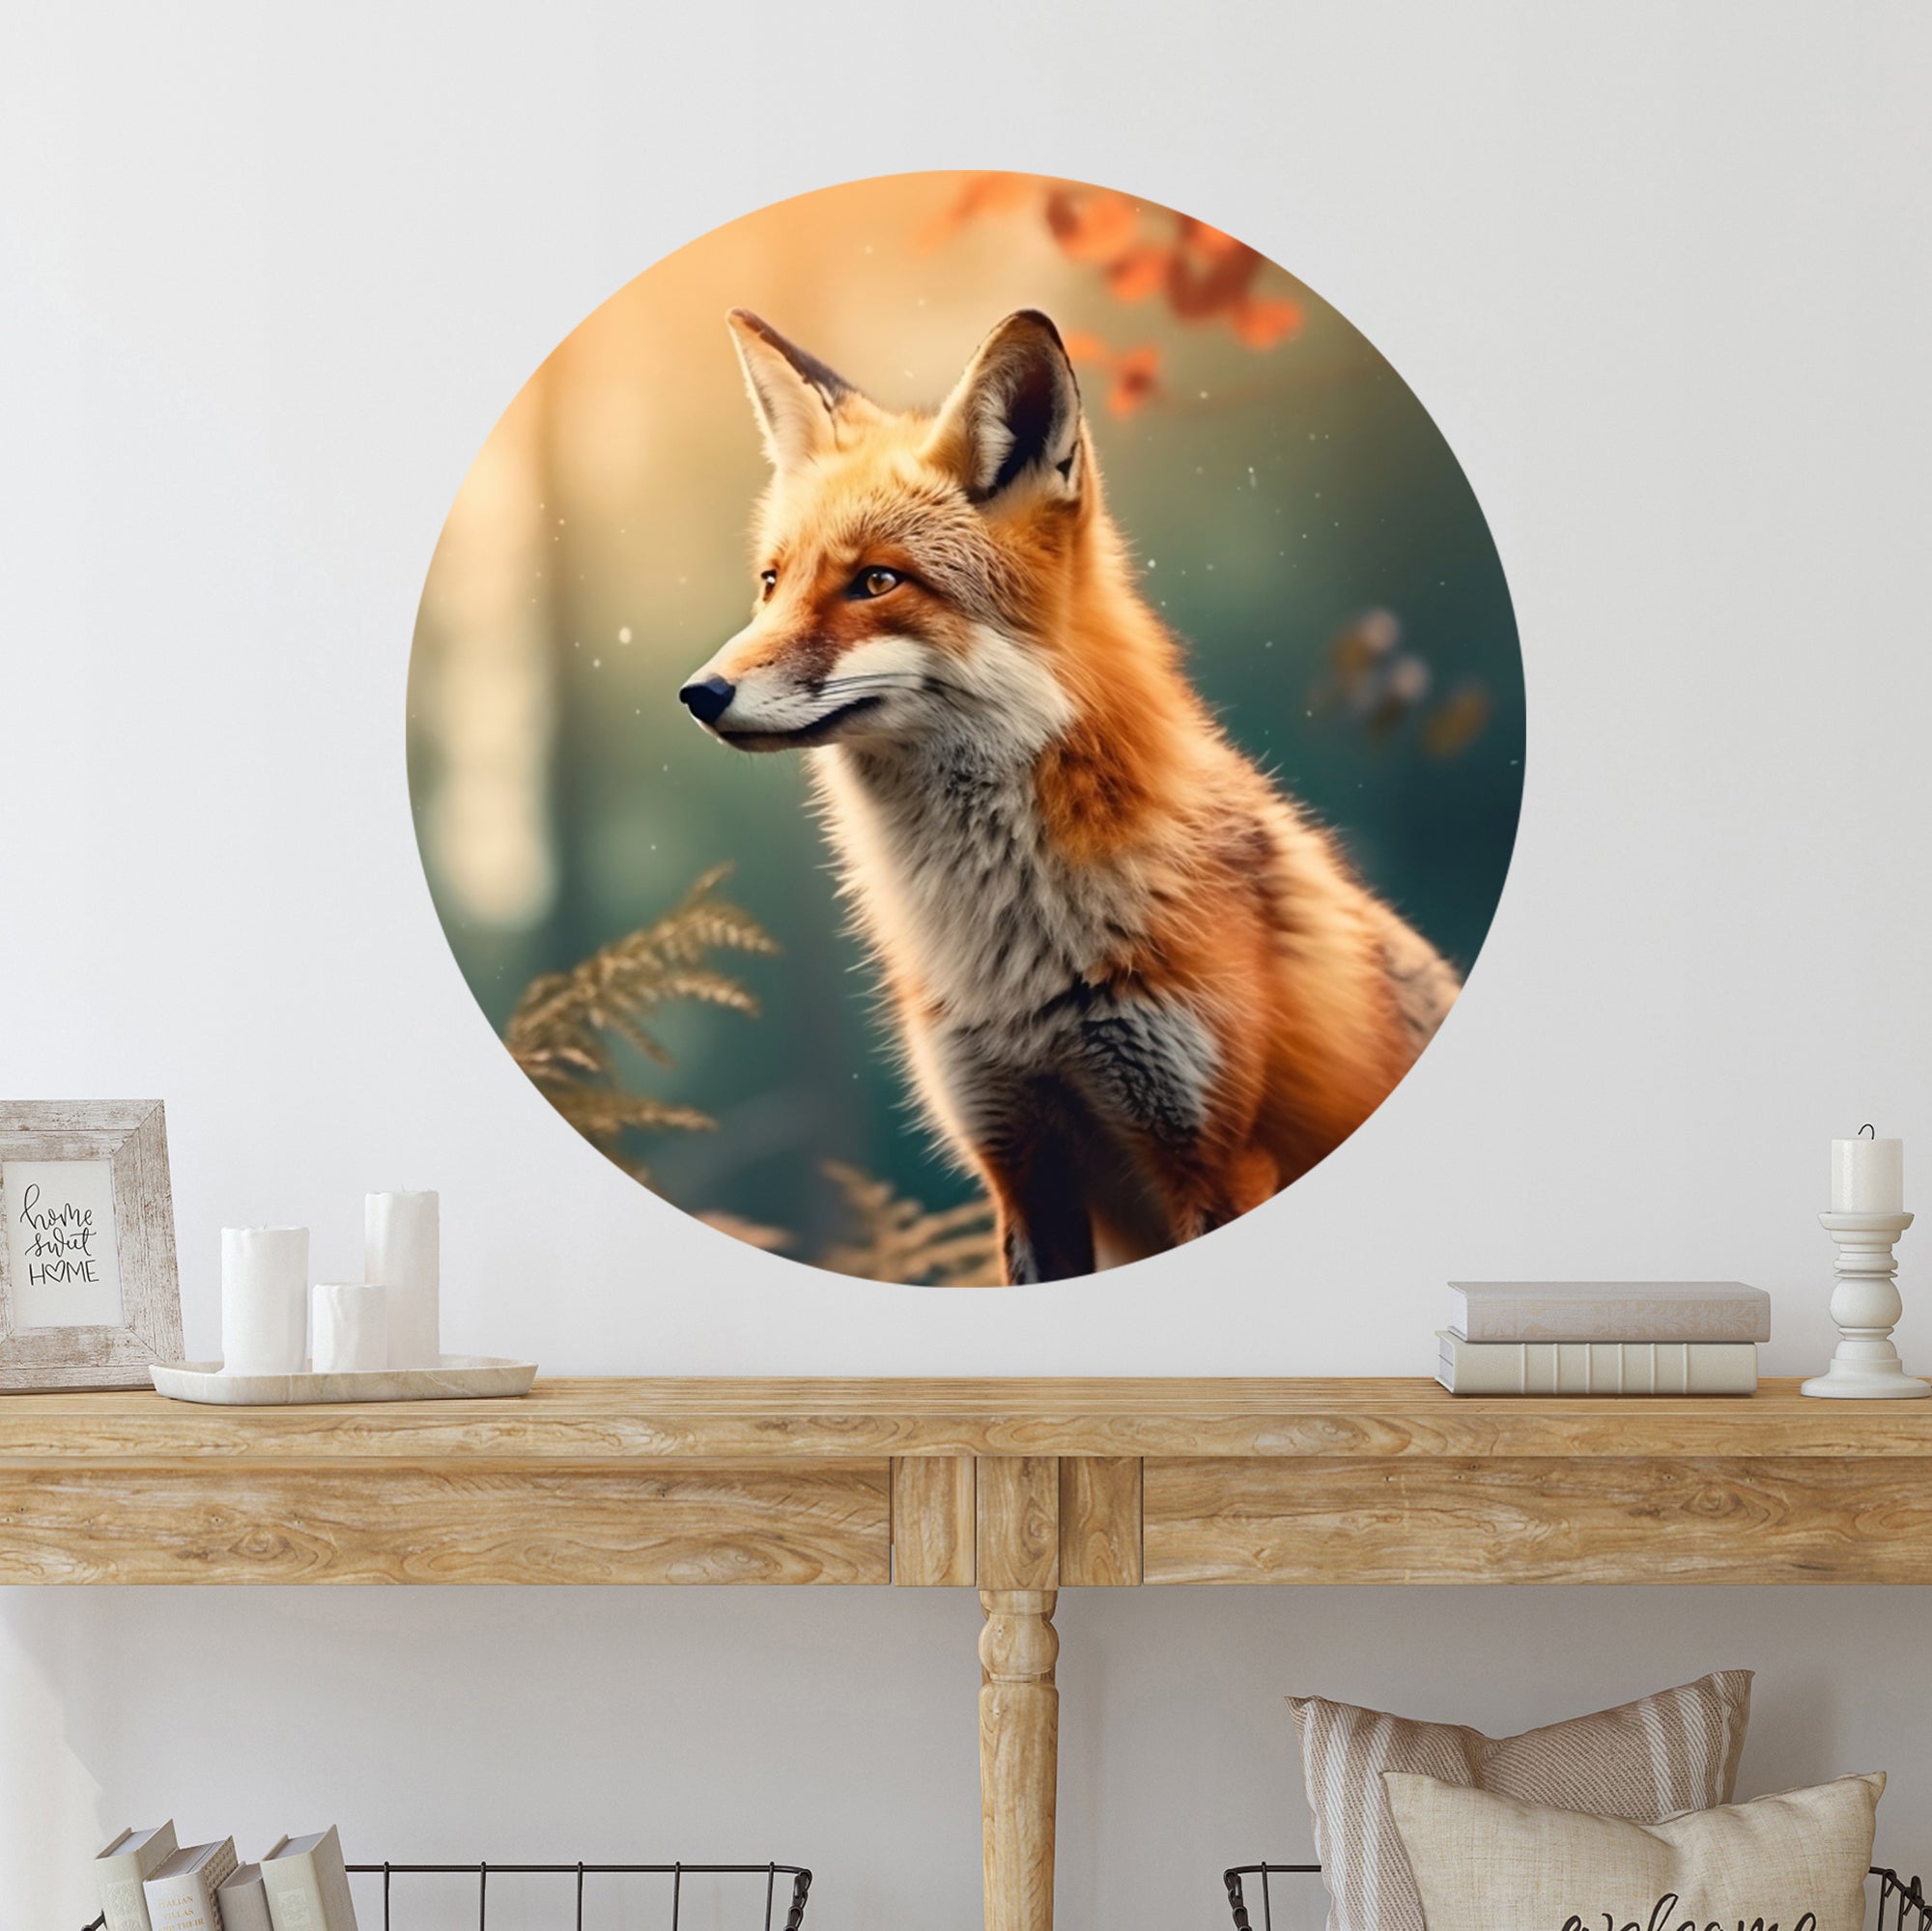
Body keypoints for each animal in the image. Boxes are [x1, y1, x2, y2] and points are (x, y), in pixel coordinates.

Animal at [679, 307, 1460, 1285]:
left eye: (877, 581)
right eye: (772, 582)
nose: (699, 693)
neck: (1016, 964)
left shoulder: (1213, 1155)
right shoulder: (1019, 1164)